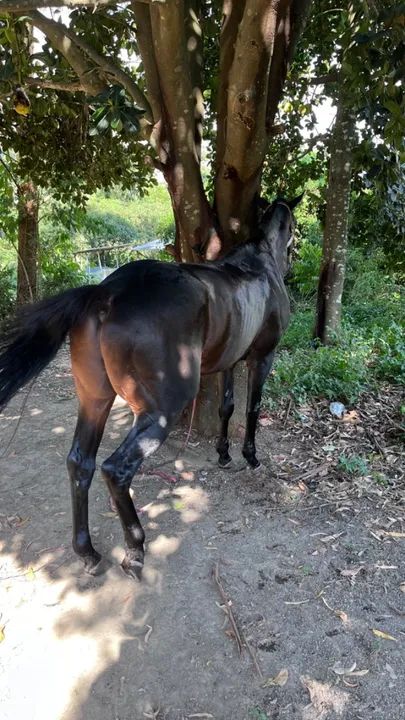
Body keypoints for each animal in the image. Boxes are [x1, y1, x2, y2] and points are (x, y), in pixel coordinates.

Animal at [0, 195, 302, 579]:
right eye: (292, 227)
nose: (294, 258)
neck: (259, 265)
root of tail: (105, 293)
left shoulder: (228, 363)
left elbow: (227, 406)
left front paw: (223, 453)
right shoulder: (262, 357)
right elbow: (252, 408)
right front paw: (250, 456)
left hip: (95, 401)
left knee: (80, 463)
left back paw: (88, 553)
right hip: (158, 413)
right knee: (115, 470)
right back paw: (135, 550)